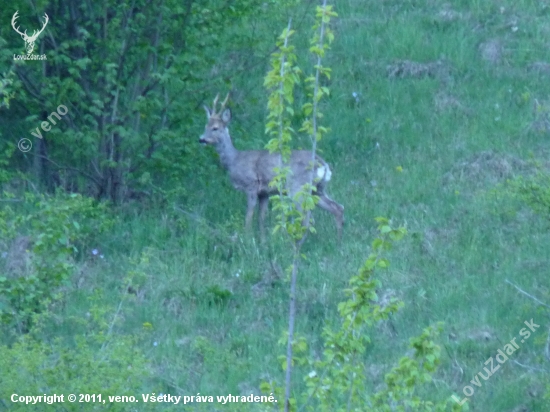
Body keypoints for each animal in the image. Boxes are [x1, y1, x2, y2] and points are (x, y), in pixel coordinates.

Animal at [198, 94, 344, 238]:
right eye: (205, 126)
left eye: (215, 128)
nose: (201, 139)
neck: (234, 160)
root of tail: (323, 165)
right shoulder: (264, 193)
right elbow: (261, 219)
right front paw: (263, 241)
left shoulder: (251, 186)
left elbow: (249, 217)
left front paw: (246, 237)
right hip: (318, 189)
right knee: (338, 208)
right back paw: (338, 241)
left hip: (298, 187)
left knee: (307, 219)